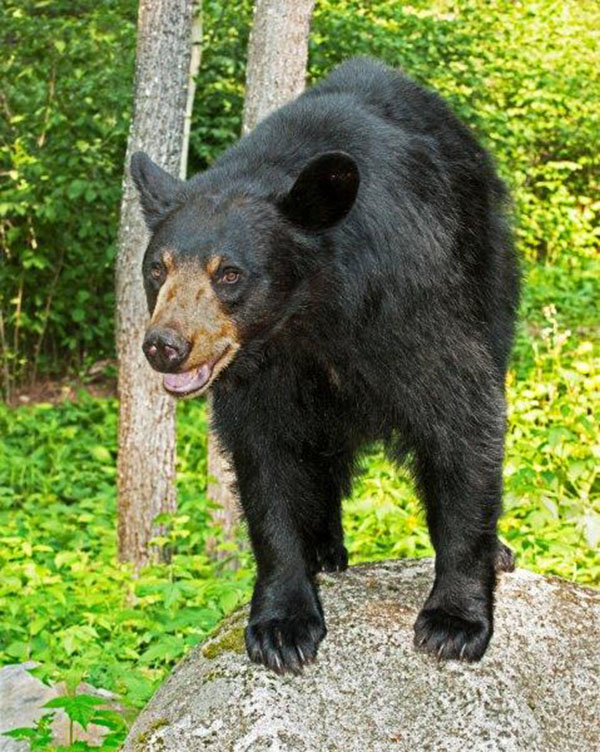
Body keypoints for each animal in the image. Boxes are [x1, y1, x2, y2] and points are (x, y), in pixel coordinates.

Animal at [131, 57, 520, 674]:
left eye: (229, 273)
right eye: (157, 268)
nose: (164, 345)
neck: (310, 317)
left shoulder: (412, 306)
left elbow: (462, 422)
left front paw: (454, 621)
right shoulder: (261, 375)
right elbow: (265, 465)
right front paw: (282, 625)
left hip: (490, 271)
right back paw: (323, 545)